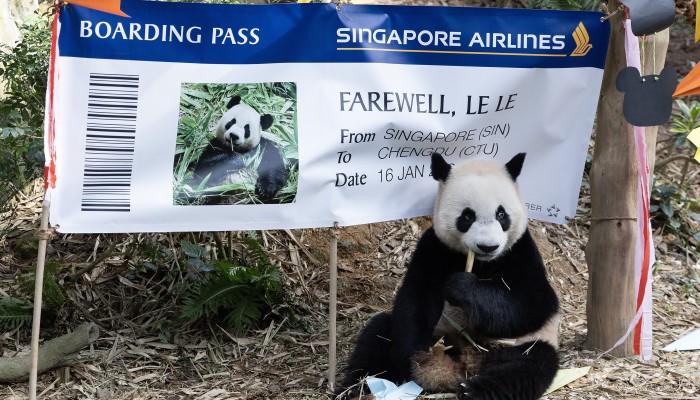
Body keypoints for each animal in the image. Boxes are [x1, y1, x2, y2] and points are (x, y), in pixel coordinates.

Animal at [338, 153, 560, 400]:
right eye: (467, 215)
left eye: (501, 214)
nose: (488, 246)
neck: (481, 262)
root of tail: (463, 366)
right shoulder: (435, 248)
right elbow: (417, 297)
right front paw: (417, 358)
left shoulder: (520, 251)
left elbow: (531, 304)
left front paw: (462, 288)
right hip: (427, 332)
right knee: (378, 336)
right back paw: (355, 389)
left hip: (518, 345)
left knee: (527, 366)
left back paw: (473, 391)